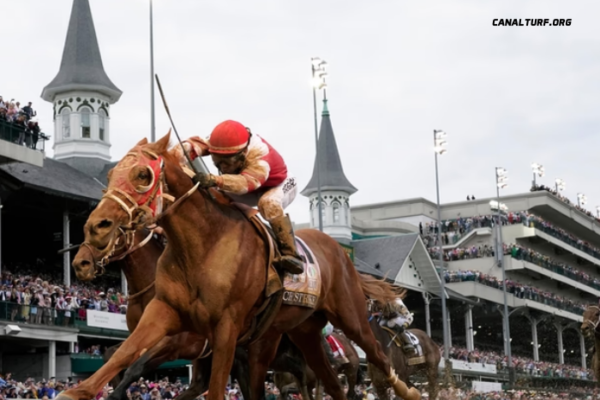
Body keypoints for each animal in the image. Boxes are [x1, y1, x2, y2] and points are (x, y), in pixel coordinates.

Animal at [58, 134, 420, 400]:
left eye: (143, 175)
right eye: (110, 175)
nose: (94, 230)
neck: (202, 247)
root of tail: (339, 251)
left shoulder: (221, 330)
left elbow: (209, 387)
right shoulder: (165, 313)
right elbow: (124, 354)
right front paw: (79, 391)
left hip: (350, 318)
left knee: (377, 356)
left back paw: (410, 390)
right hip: (302, 334)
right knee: (330, 384)